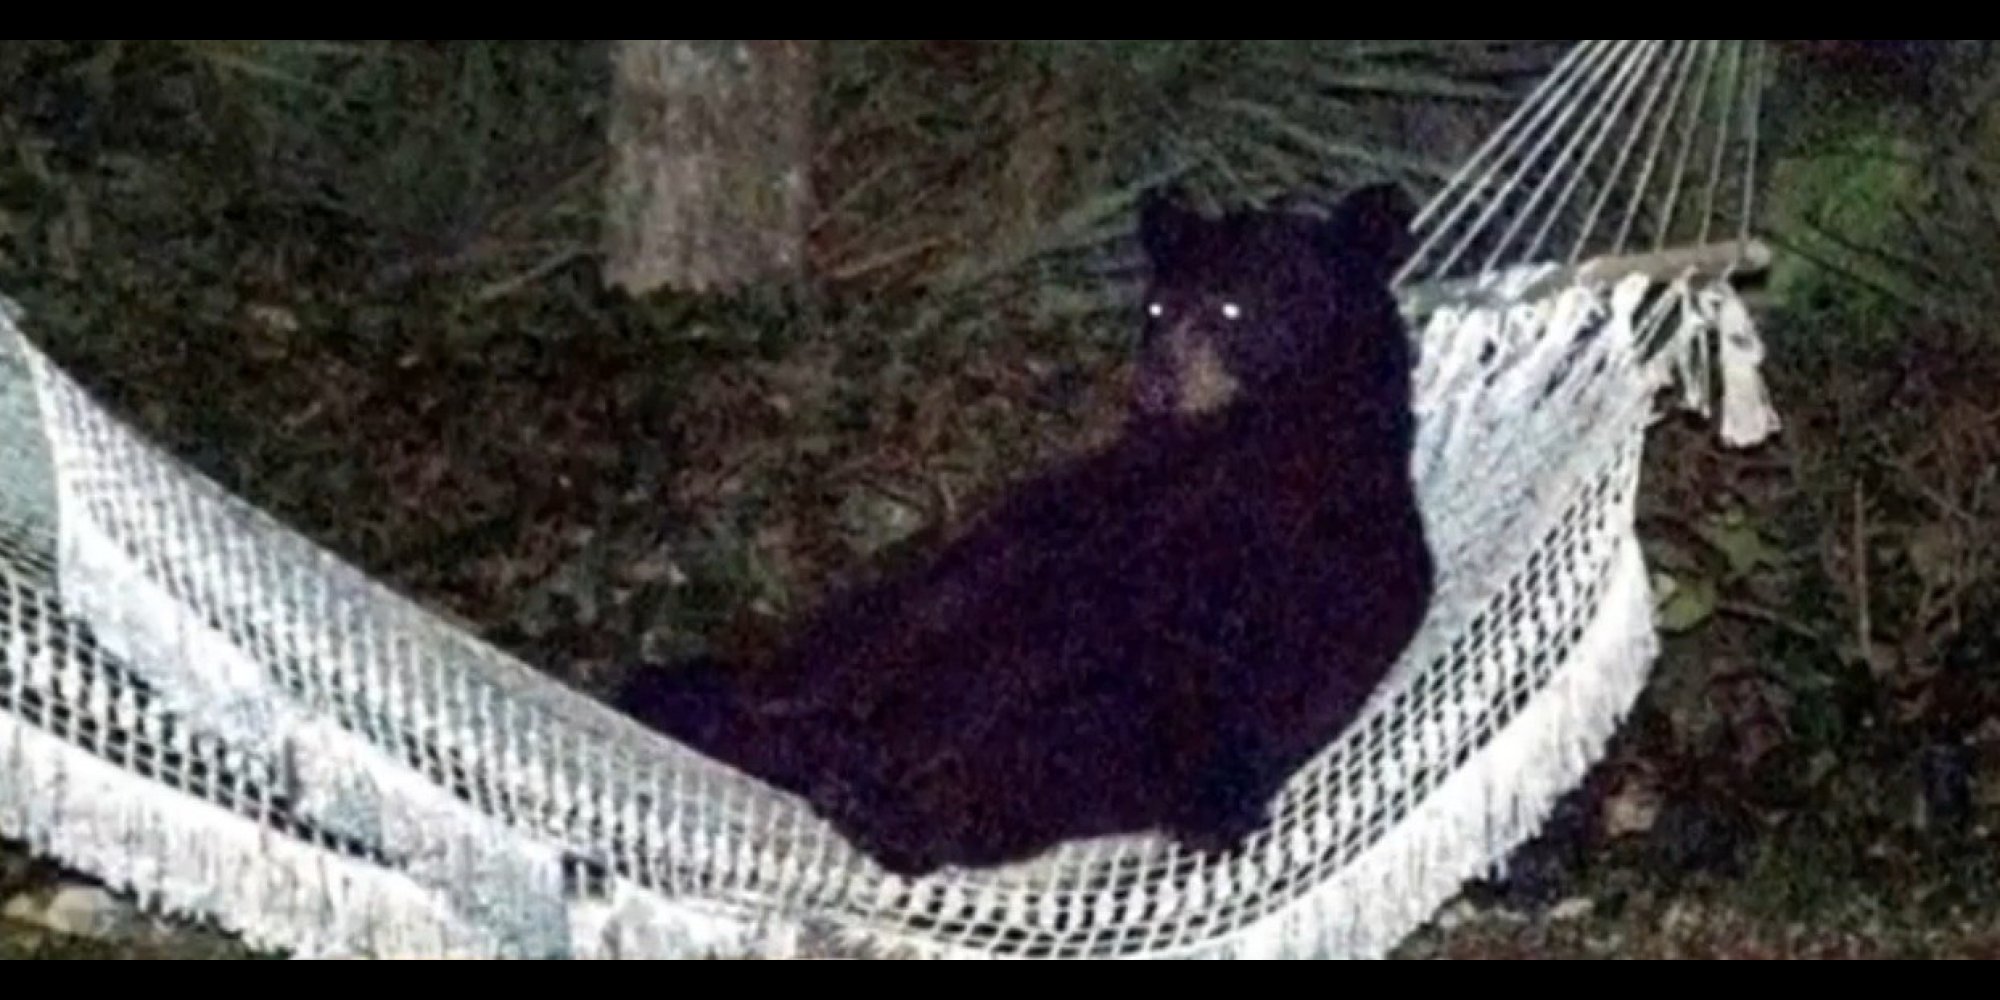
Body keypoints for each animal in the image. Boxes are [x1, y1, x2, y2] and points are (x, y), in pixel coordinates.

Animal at [612, 180, 1440, 876]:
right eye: (1157, 309)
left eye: (1233, 308)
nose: (1156, 384)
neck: (1251, 437)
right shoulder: (1077, 513)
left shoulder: (1283, 559)